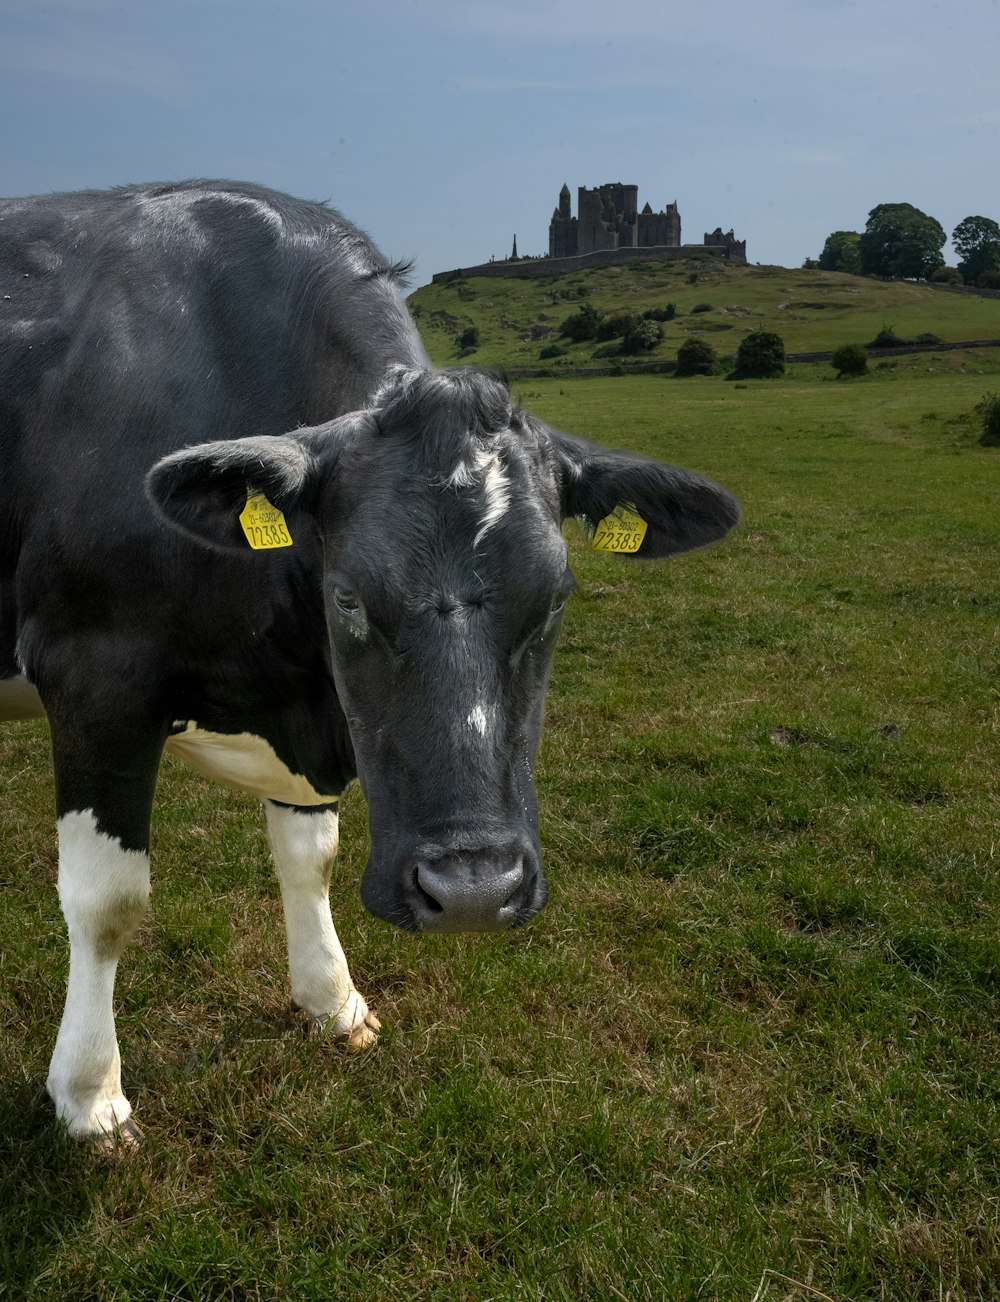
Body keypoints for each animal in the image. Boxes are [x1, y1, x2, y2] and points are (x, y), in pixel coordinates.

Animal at [0, 180, 734, 1140]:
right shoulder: (95, 678)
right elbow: (107, 903)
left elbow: (307, 855)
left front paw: (332, 1000)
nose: (472, 891)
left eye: (556, 597)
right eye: (347, 596)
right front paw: (90, 1094)